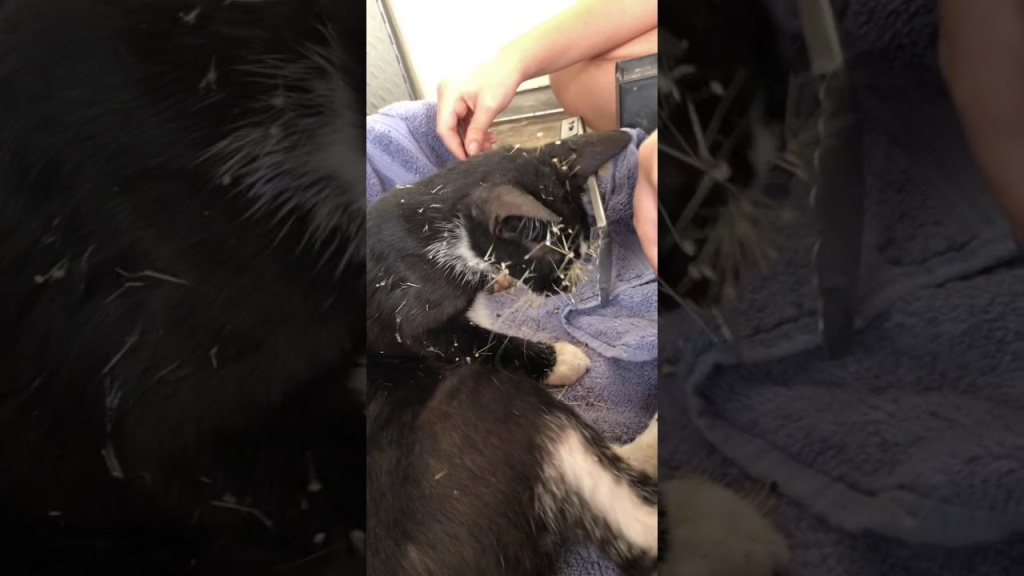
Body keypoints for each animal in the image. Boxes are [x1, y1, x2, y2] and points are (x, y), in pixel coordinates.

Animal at [365, 130, 661, 575]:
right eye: (555, 259)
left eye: (581, 248)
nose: (568, 284)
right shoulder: (416, 321)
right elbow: (486, 342)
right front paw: (558, 359)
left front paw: (499, 281)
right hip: (486, 397)